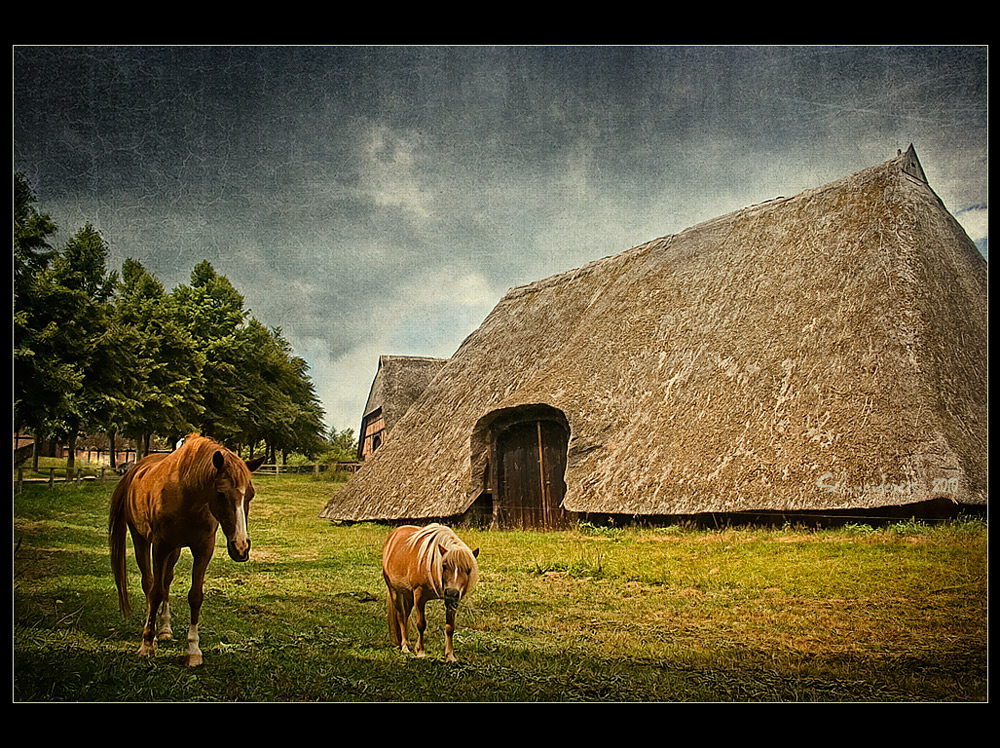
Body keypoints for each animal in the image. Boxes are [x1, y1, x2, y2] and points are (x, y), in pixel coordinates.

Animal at [110, 432, 266, 668]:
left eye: (251, 495)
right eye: (220, 494)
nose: (241, 547)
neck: (187, 495)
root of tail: (134, 470)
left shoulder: (203, 549)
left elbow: (194, 596)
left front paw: (193, 650)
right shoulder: (160, 546)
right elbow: (155, 592)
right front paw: (146, 645)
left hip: (173, 550)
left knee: (166, 582)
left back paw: (164, 629)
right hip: (141, 540)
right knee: (150, 583)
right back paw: (152, 635)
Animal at [380, 524, 478, 664]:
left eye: (468, 570)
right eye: (444, 565)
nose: (452, 592)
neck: (432, 566)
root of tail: (393, 536)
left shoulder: (452, 601)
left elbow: (450, 627)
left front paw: (450, 656)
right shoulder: (419, 596)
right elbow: (421, 624)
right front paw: (420, 652)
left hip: (408, 596)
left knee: (405, 616)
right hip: (395, 592)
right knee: (401, 617)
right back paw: (404, 646)